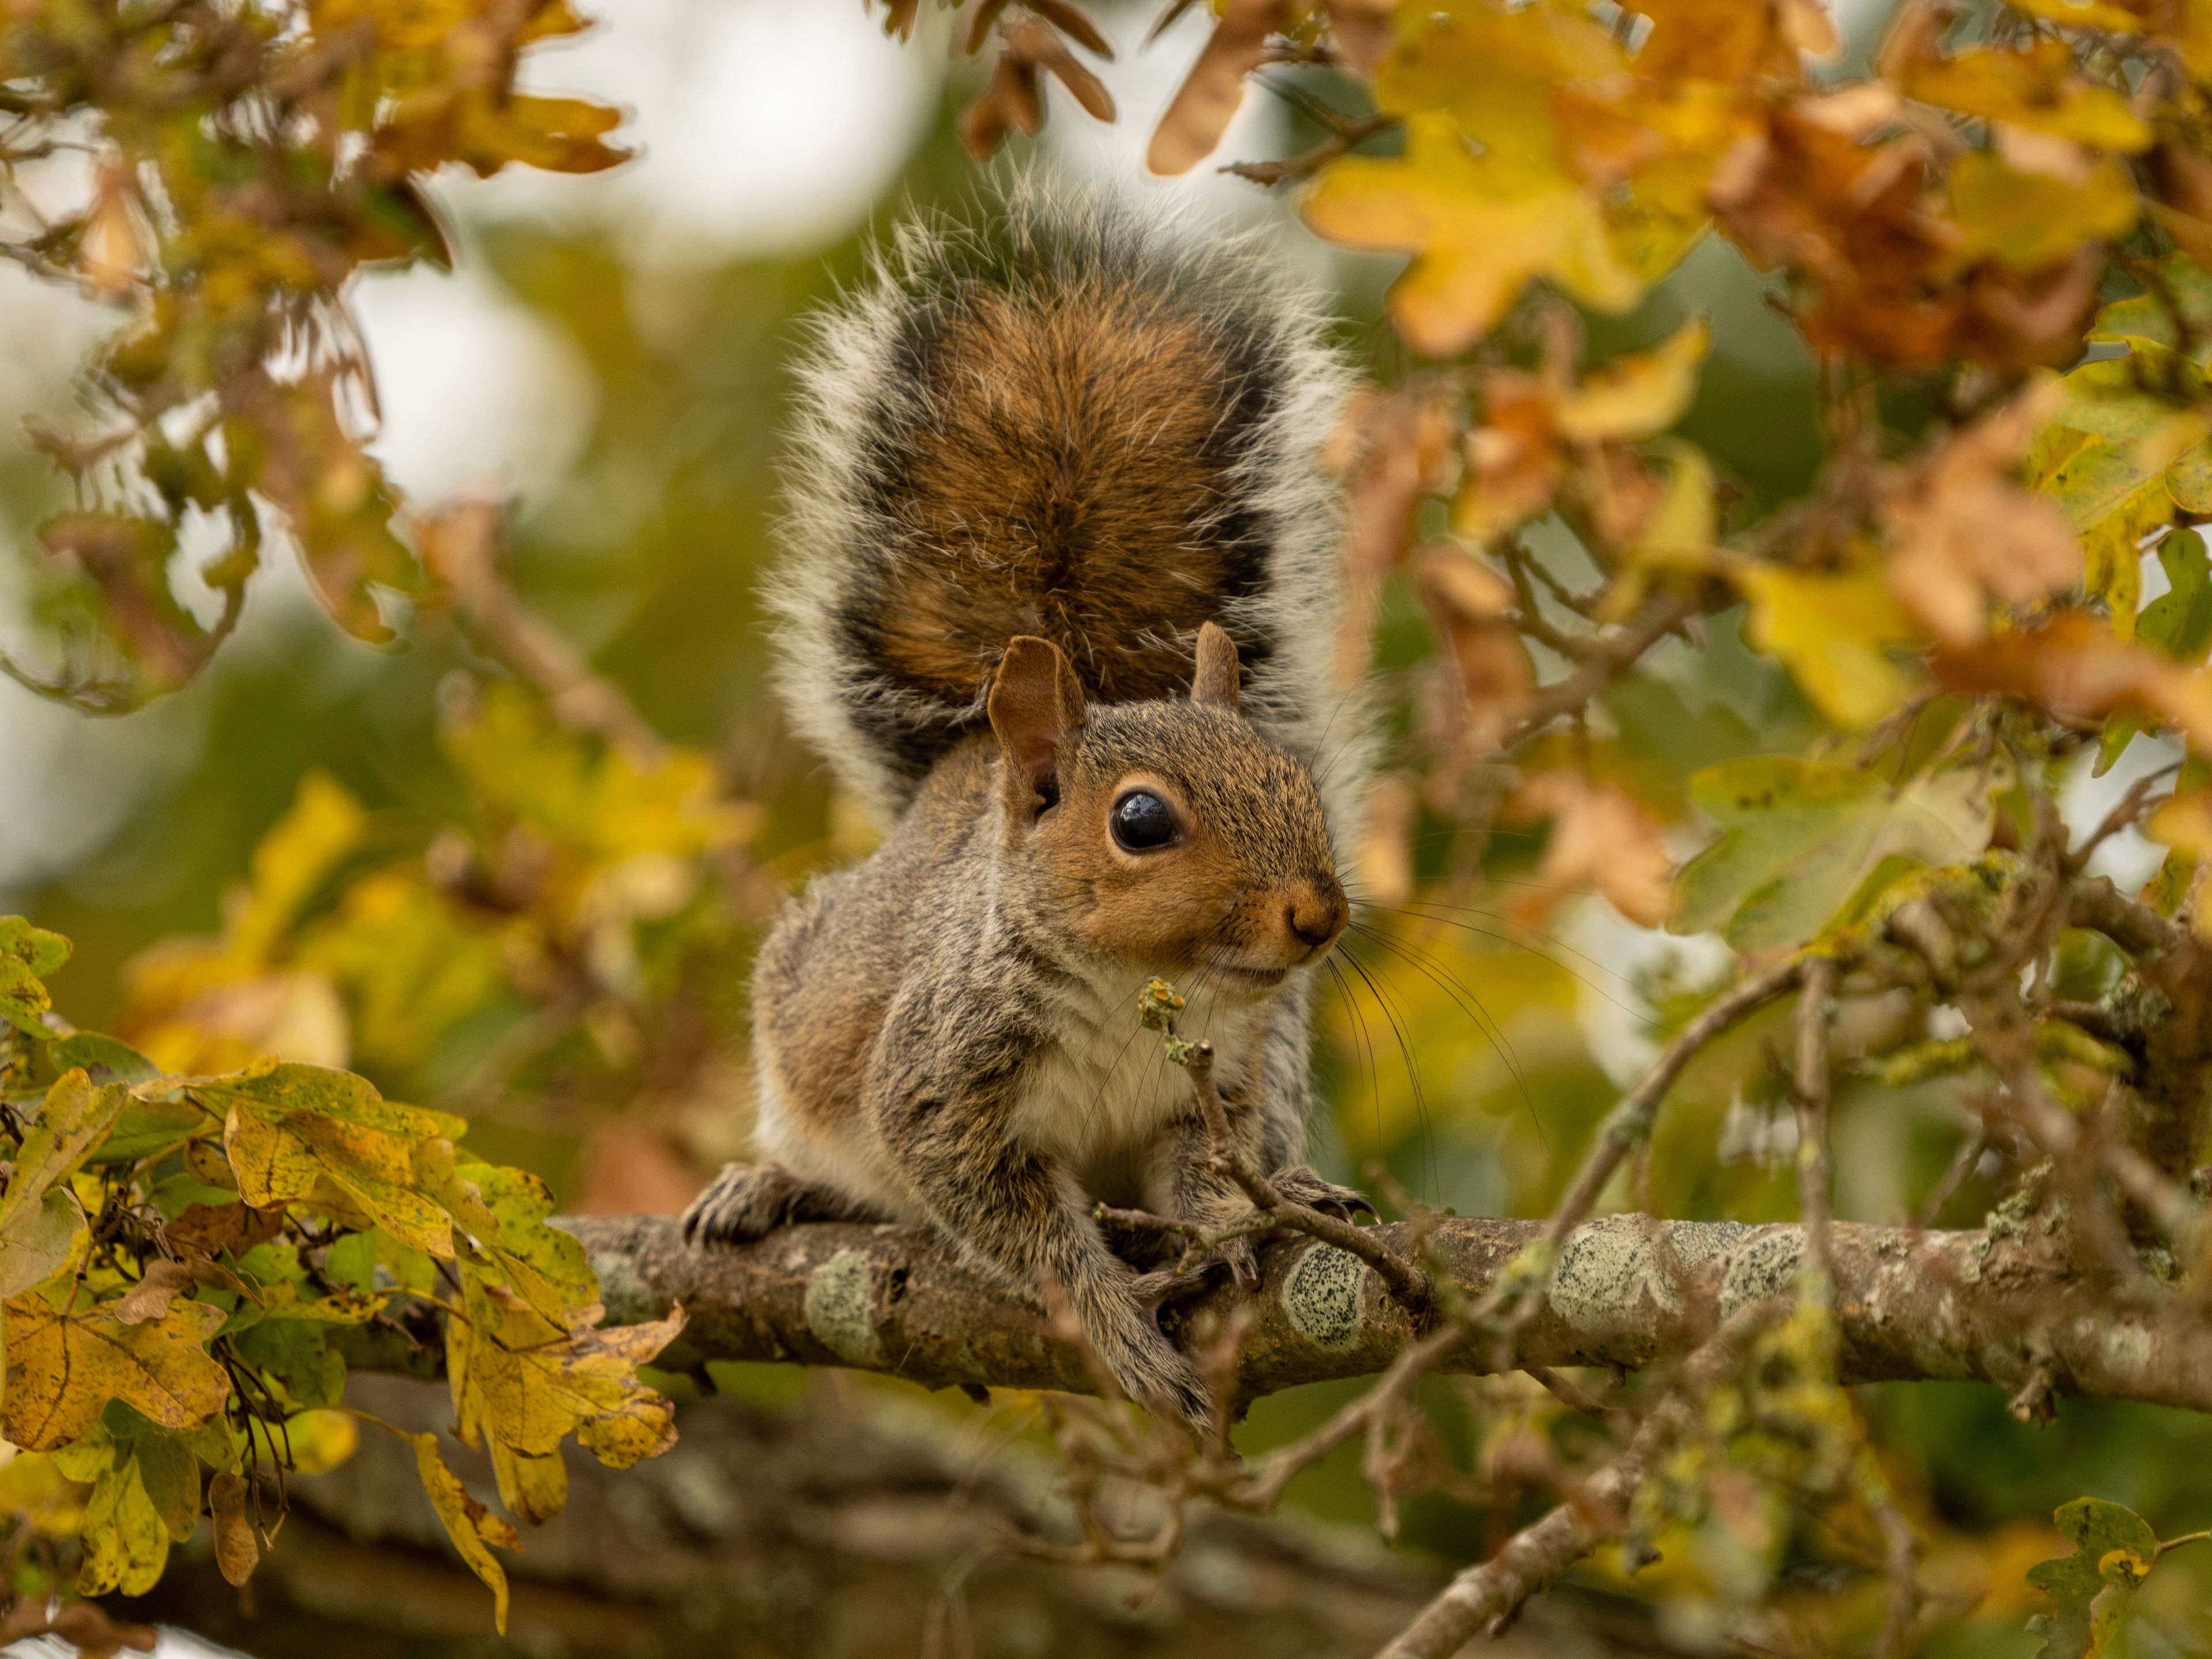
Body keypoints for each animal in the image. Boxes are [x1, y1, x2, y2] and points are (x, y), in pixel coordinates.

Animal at [682, 186, 1376, 1426]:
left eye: (1297, 780)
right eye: (1140, 822)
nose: (1318, 916)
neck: (1130, 996)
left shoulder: (1225, 1081)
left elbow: (1207, 1172)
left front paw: (1234, 1220)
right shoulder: (936, 1079)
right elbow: (1011, 1221)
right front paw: (1109, 1319)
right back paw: (764, 1187)